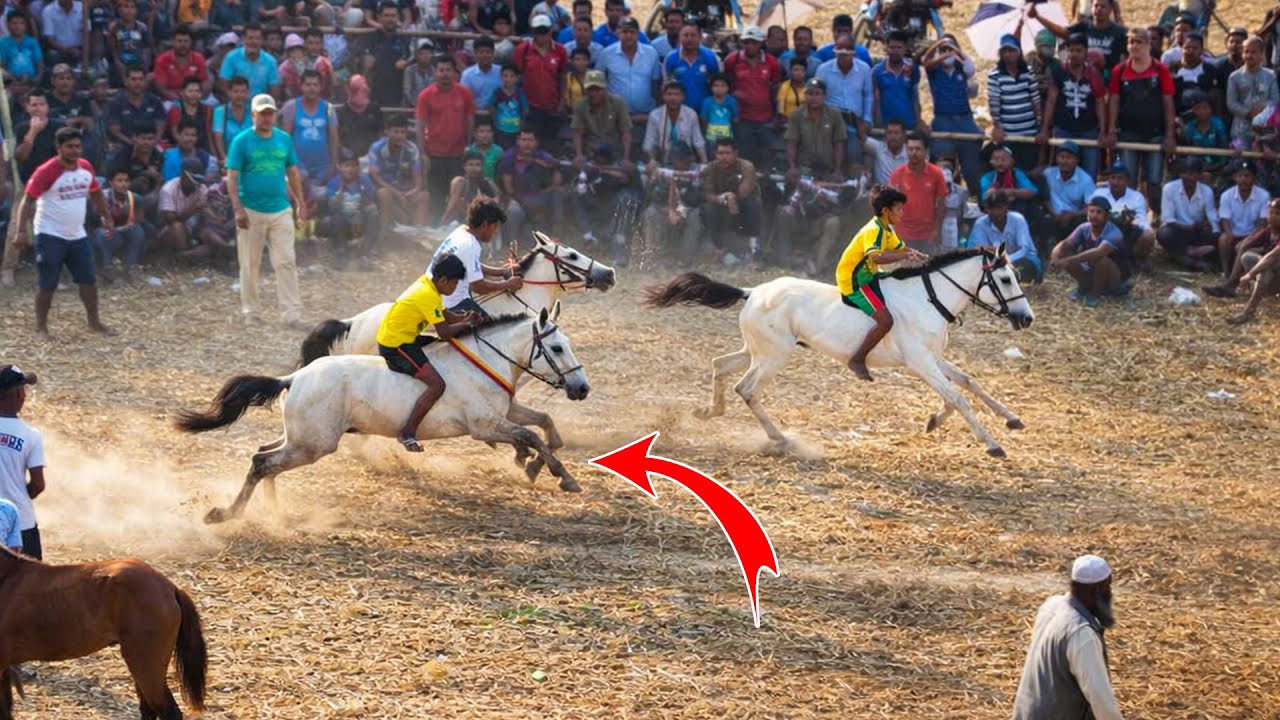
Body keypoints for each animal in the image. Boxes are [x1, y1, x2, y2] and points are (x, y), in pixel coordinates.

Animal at [176, 305, 590, 524]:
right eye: (556, 347)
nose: (581, 388)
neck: (485, 359)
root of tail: (293, 378)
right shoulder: (484, 426)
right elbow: (530, 435)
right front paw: (559, 475)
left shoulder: (505, 412)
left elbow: (542, 423)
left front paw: (537, 462)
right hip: (313, 444)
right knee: (262, 462)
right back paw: (228, 514)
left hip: (300, 437)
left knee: (263, 456)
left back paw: (273, 510)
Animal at [643, 245, 1035, 457]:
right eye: (1004, 280)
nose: (1026, 318)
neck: (928, 297)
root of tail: (751, 291)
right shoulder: (920, 363)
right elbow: (958, 397)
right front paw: (992, 444)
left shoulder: (933, 359)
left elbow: (967, 383)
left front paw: (1010, 419)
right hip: (773, 357)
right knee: (747, 388)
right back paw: (780, 439)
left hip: (756, 351)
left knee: (720, 365)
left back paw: (708, 411)